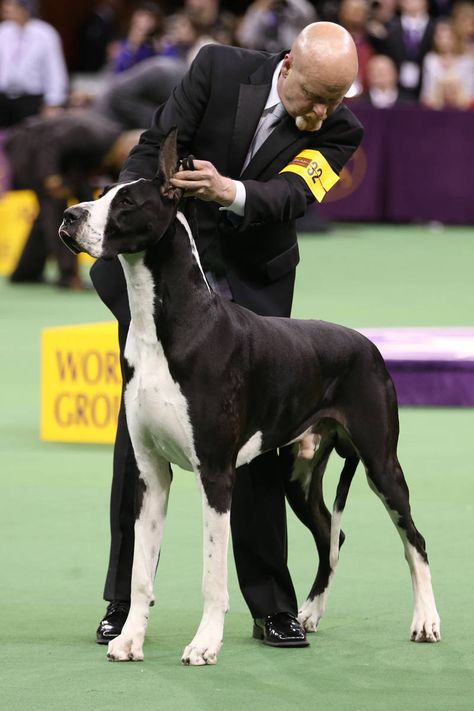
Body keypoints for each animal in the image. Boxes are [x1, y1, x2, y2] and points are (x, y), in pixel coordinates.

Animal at [59, 129, 440, 668]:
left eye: (127, 203)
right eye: (103, 191)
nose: (70, 215)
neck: (167, 325)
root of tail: (367, 343)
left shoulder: (216, 474)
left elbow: (213, 576)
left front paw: (204, 644)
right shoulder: (150, 473)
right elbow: (140, 572)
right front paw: (129, 639)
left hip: (381, 463)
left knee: (413, 538)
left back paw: (425, 621)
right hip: (300, 474)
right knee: (332, 533)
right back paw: (307, 614)